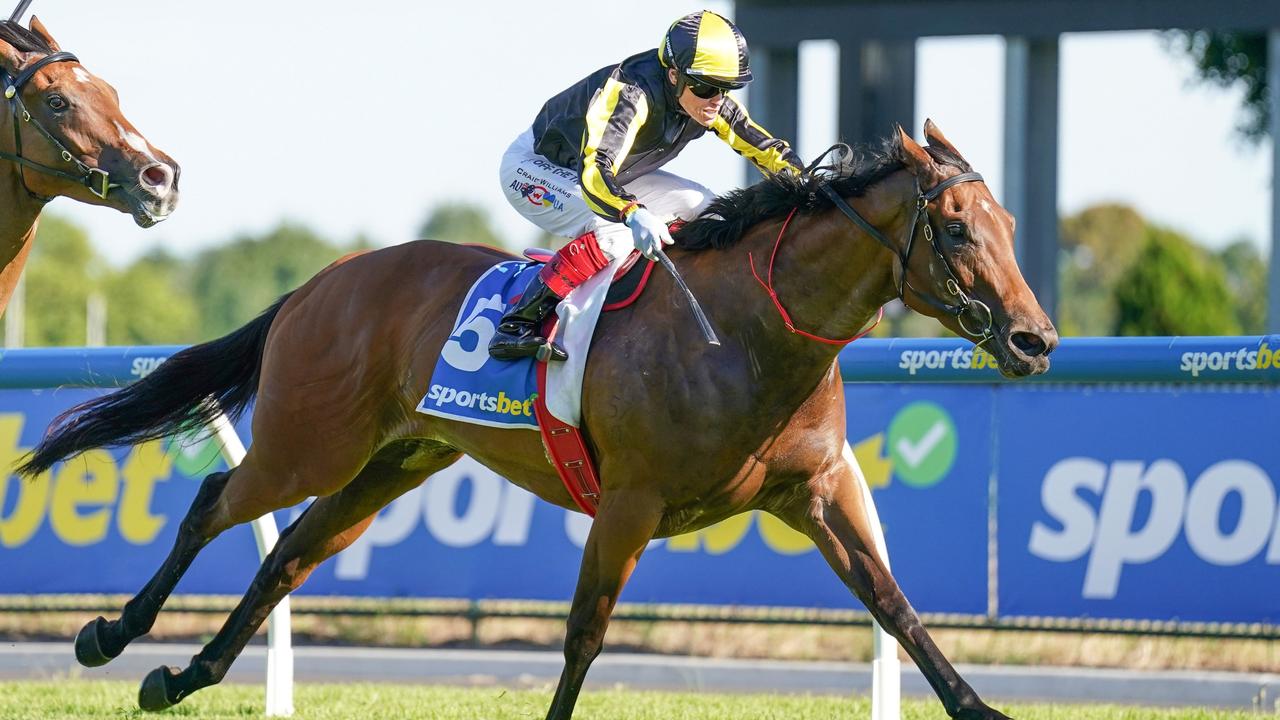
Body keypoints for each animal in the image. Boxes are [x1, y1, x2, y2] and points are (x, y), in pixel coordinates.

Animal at [20, 120, 1059, 712]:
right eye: (957, 228)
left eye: (1009, 226)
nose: (1036, 338)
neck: (747, 329)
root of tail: (321, 281)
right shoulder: (630, 504)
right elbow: (584, 636)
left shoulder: (816, 489)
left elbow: (895, 606)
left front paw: (980, 708)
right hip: (308, 442)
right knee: (215, 503)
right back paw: (113, 634)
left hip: (393, 459)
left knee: (289, 557)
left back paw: (182, 675)